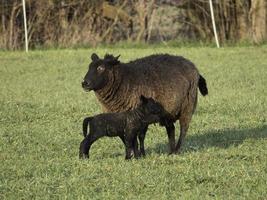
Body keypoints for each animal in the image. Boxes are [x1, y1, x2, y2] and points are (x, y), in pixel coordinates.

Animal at [81, 52, 209, 155]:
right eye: (89, 67)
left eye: (101, 68)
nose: (84, 83)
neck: (123, 81)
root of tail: (193, 67)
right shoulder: (119, 119)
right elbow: (126, 138)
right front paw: (133, 153)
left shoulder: (141, 117)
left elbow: (140, 136)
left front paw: (140, 154)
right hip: (168, 111)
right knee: (171, 129)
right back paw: (171, 151)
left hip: (188, 105)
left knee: (183, 129)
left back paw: (176, 150)